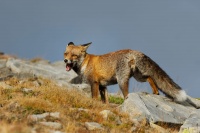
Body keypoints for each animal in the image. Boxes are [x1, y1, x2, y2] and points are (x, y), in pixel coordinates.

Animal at [64, 42, 198, 107]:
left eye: (74, 55)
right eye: (66, 53)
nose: (65, 61)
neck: (85, 63)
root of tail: (133, 51)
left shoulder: (95, 83)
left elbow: (94, 98)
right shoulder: (103, 86)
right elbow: (105, 100)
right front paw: (106, 106)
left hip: (122, 81)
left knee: (127, 94)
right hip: (139, 77)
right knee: (150, 77)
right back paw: (155, 92)